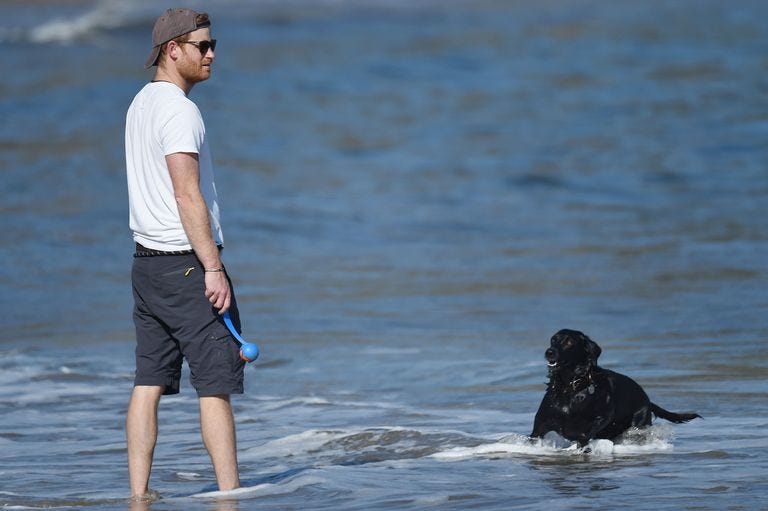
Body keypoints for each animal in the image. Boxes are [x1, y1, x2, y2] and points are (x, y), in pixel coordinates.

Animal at [532, 330, 700, 446]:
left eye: (569, 342)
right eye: (553, 340)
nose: (549, 352)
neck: (570, 387)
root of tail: (647, 399)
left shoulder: (602, 416)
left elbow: (586, 433)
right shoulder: (539, 428)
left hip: (640, 421)